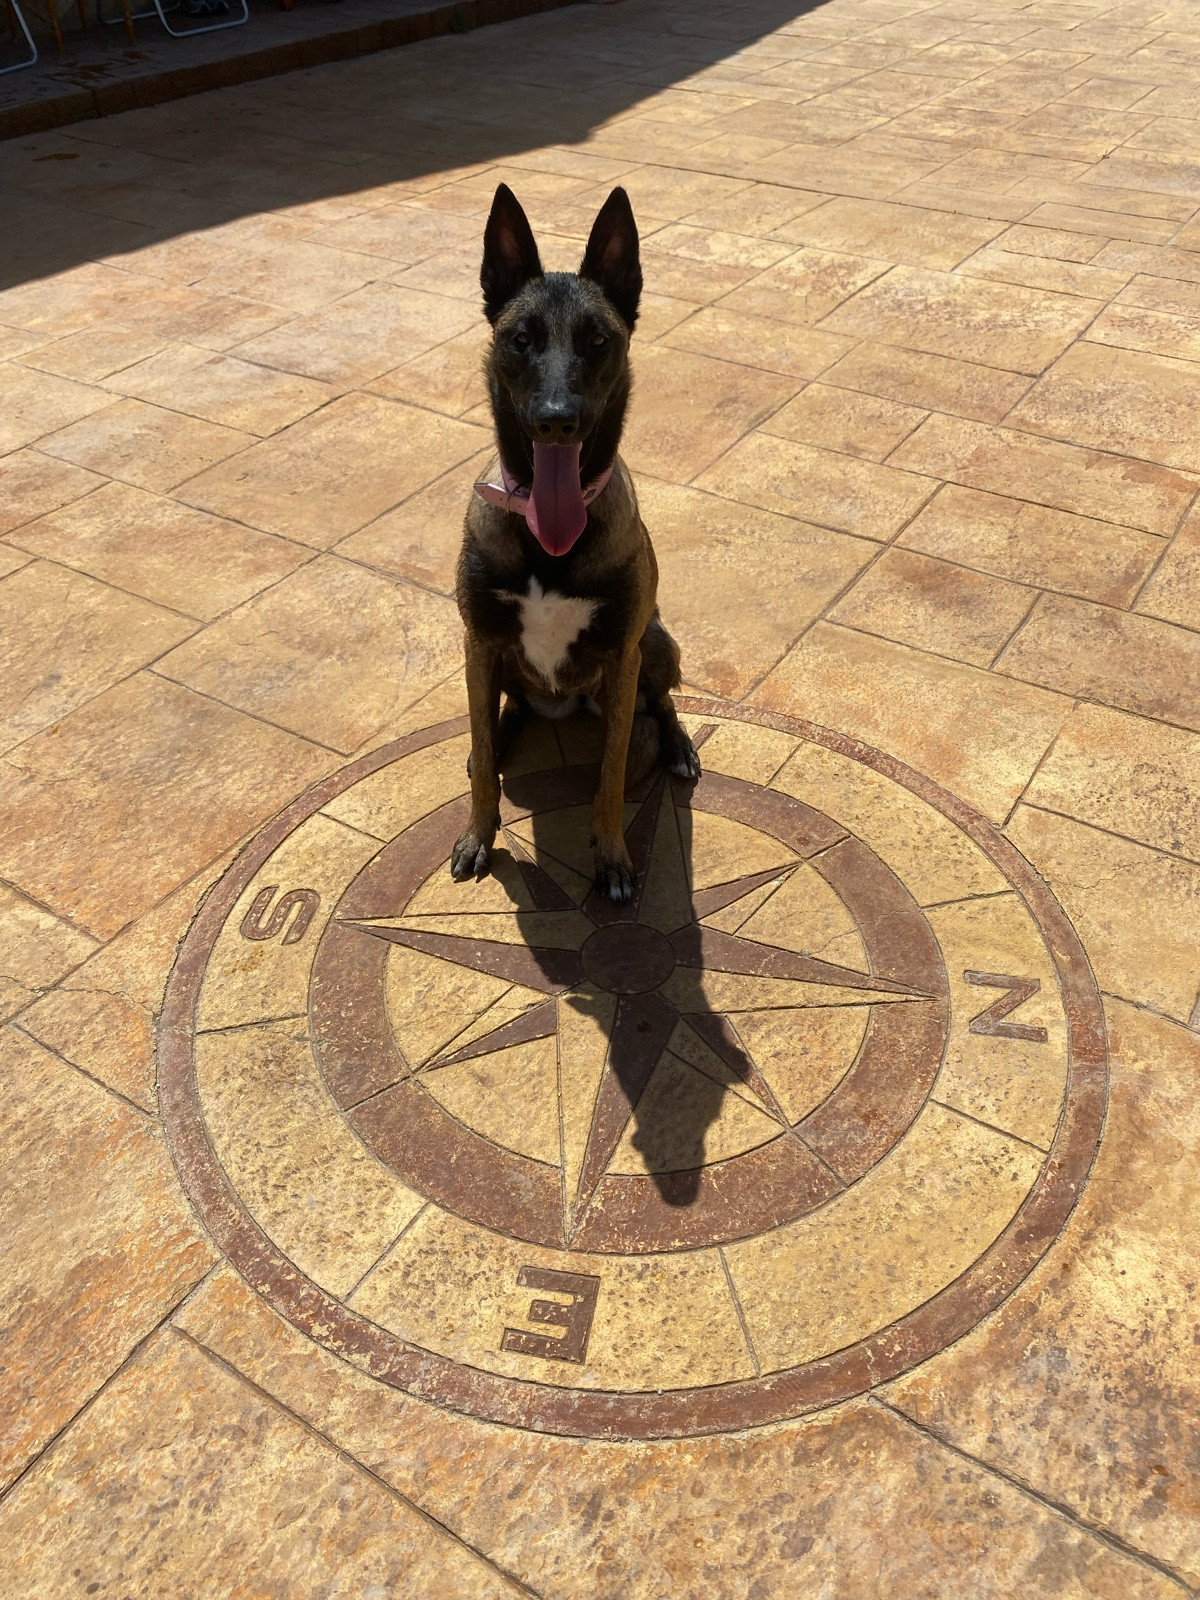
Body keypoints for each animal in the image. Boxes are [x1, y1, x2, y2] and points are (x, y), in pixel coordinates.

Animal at [451, 183, 700, 903]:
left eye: (597, 340)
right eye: (520, 339)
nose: (556, 422)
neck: (546, 535)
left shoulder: (622, 656)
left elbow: (611, 773)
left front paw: (613, 855)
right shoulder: (478, 641)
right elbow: (486, 764)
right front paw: (478, 834)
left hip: (655, 643)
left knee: (661, 701)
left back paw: (677, 746)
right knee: (500, 715)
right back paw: (494, 739)